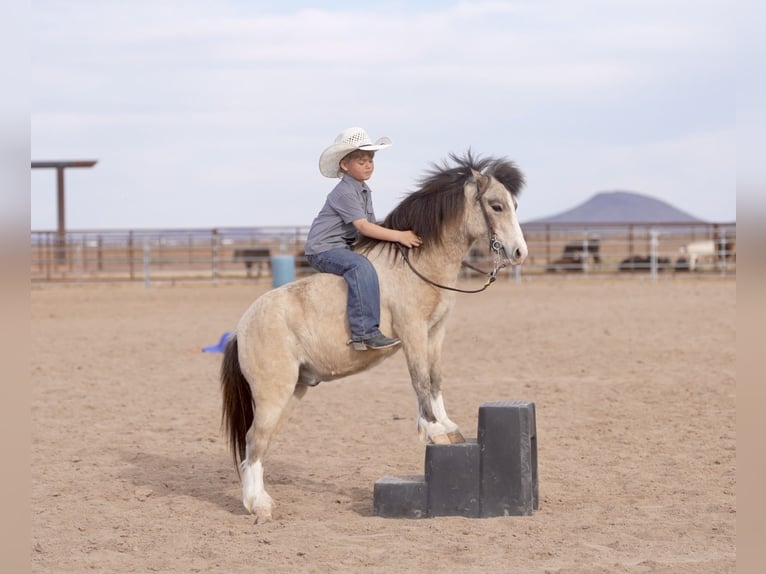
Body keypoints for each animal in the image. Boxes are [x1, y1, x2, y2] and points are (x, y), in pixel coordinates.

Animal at [220, 151, 528, 522]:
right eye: (496, 206)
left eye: (513, 204)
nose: (519, 253)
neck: (417, 263)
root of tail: (241, 329)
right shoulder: (412, 330)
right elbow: (419, 379)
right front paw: (434, 431)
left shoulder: (435, 331)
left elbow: (435, 378)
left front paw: (447, 426)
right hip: (272, 394)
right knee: (253, 440)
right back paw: (259, 505)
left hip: (291, 392)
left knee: (260, 443)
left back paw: (259, 499)